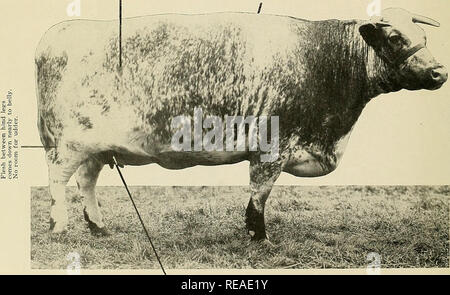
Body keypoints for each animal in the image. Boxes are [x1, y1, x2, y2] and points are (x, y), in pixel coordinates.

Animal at [35, 7, 446, 243]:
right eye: (395, 37)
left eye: (424, 37)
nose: (439, 72)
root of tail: (54, 37)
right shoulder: (273, 146)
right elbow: (260, 193)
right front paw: (258, 235)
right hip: (69, 143)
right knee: (57, 180)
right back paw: (58, 227)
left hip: (96, 146)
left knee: (87, 180)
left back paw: (98, 226)